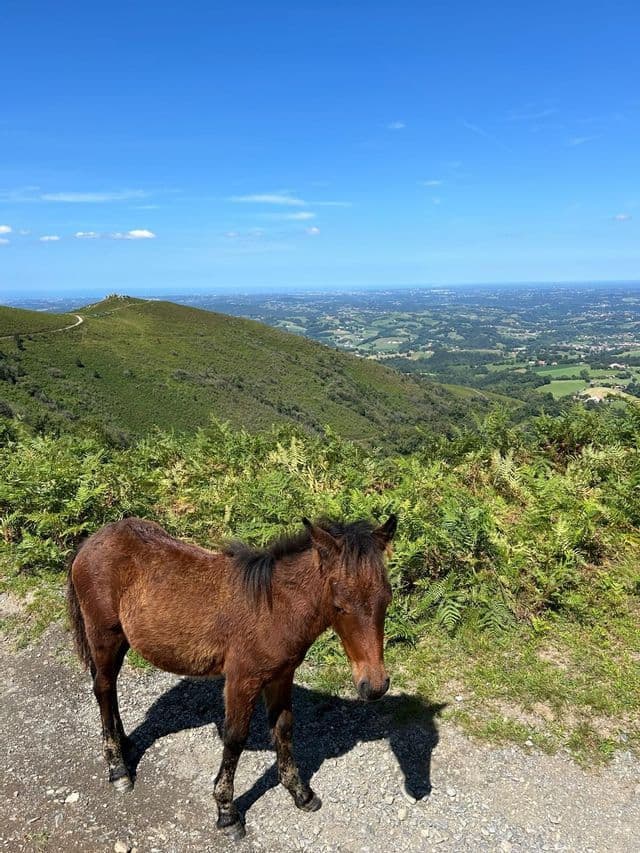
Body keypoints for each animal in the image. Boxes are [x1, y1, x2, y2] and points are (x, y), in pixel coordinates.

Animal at [67, 513, 397, 840]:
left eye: (386, 599)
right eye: (340, 606)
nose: (375, 686)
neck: (275, 608)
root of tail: (93, 540)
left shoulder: (281, 676)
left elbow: (284, 728)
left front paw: (300, 793)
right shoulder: (242, 679)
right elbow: (235, 738)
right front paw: (227, 813)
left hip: (121, 640)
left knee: (109, 689)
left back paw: (124, 744)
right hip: (103, 636)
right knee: (103, 688)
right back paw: (118, 769)